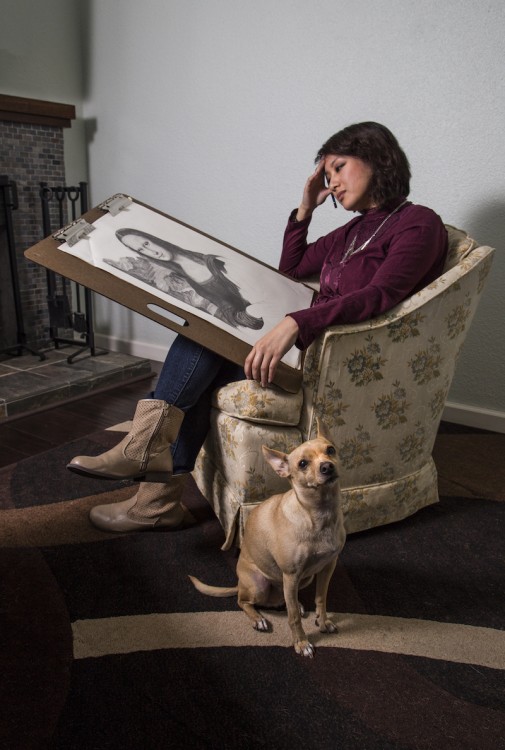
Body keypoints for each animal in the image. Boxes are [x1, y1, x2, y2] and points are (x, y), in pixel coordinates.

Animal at [189, 424, 346, 656]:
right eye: (302, 463)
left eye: (330, 450)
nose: (327, 466)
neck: (319, 514)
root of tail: (239, 583)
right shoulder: (291, 575)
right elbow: (293, 618)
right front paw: (301, 643)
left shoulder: (327, 568)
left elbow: (321, 599)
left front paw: (323, 622)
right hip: (259, 585)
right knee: (244, 601)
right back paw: (258, 619)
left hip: (304, 579)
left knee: (284, 601)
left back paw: (295, 603)